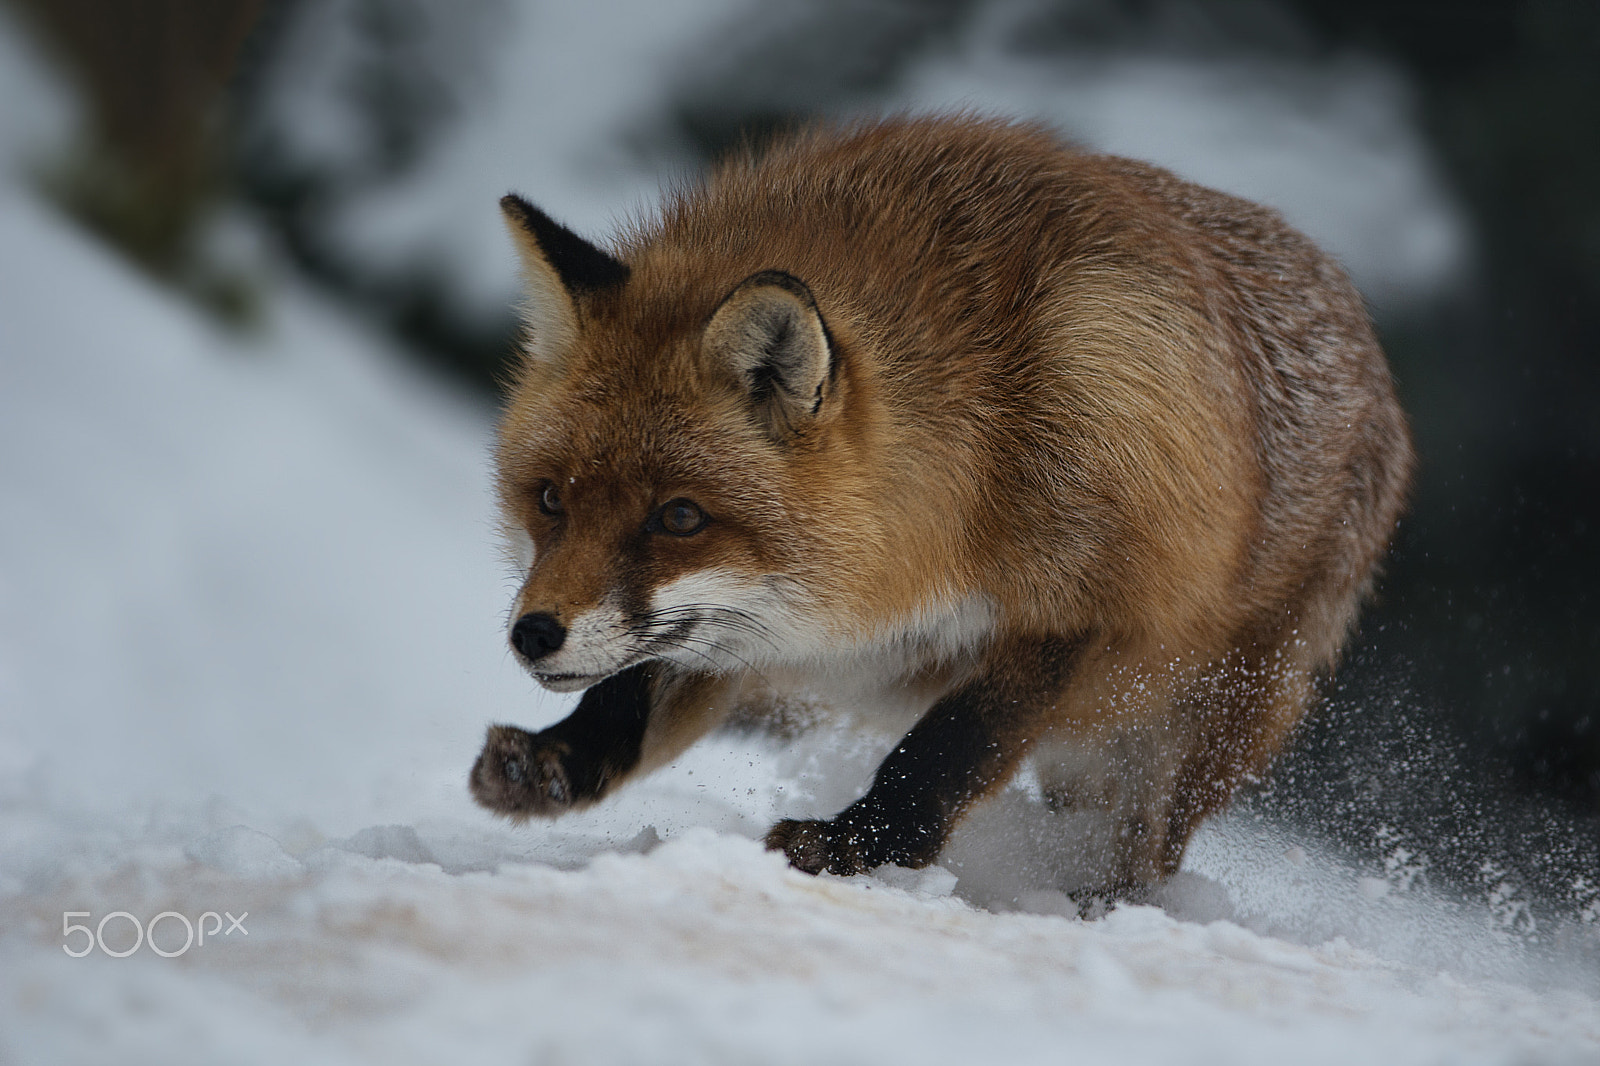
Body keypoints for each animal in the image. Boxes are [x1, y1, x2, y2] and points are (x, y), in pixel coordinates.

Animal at [467, 114, 1414, 889]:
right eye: (549, 499)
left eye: (680, 518)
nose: (533, 633)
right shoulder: (742, 630)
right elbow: (633, 697)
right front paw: (556, 764)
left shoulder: (1082, 610)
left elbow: (943, 754)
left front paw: (856, 848)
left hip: (1193, 732)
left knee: (1142, 857)